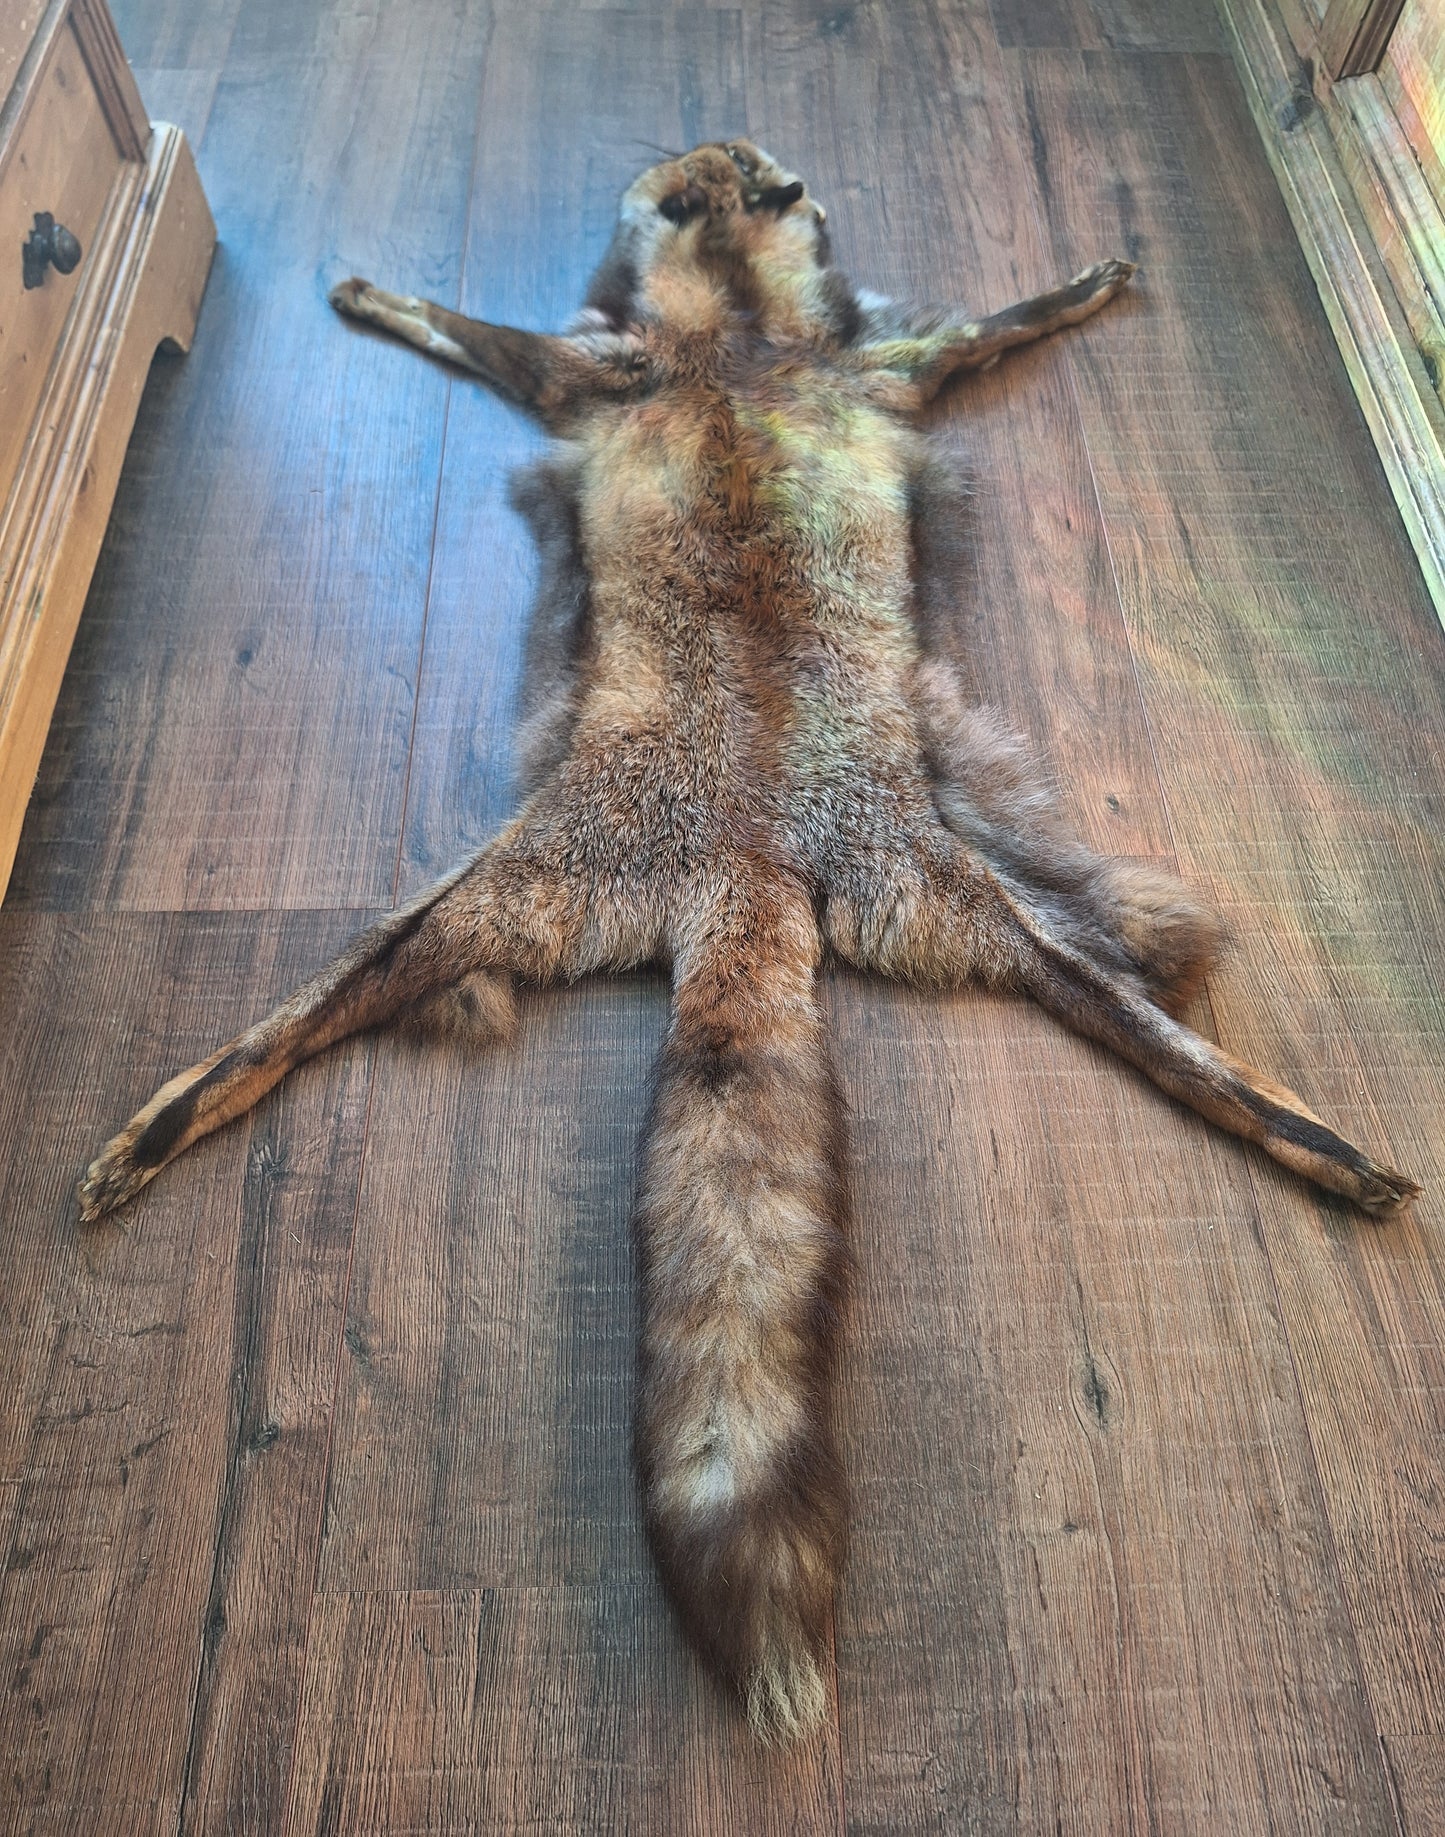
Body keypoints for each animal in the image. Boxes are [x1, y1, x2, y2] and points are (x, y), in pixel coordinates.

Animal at [77, 139, 1420, 1745]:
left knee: (1141, 1029)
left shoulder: (784, 371)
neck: (727, 342)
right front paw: (373, 291)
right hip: (650, 897)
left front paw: (1081, 283)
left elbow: (987, 321)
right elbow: (476, 323)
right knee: (294, 1024)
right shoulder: (639, 376)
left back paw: (1325, 1148)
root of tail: (745, 860)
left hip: (855, 898)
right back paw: (151, 1131)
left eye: (747, 175)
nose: (728, 151)